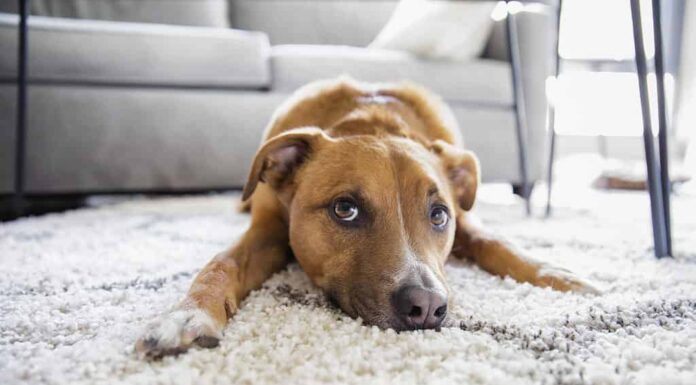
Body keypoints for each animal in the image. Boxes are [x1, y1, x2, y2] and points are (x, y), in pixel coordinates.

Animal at [136, 78, 600, 360]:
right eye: (345, 209)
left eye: (438, 215)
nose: (427, 307)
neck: (374, 123)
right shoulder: (267, 230)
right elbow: (221, 263)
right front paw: (187, 315)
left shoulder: (467, 221)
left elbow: (497, 242)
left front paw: (557, 274)